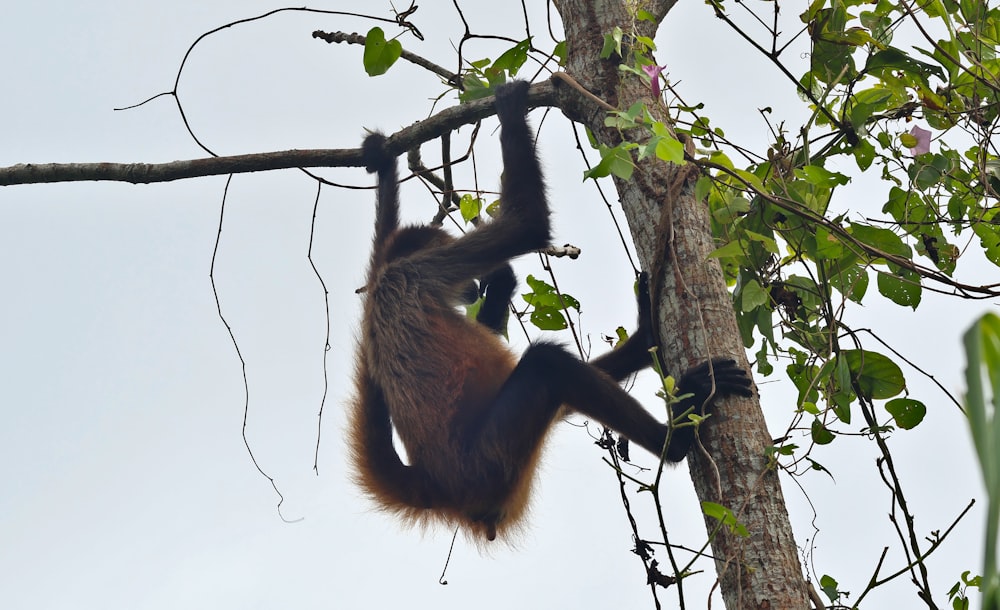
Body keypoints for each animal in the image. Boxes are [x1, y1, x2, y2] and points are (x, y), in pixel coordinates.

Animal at [350, 78, 752, 540]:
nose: (471, 289)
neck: (387, 279)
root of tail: (437, 483)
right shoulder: (421, 272)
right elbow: (526, 225)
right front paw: (509, 107)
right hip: (493, 460)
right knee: (547, 364)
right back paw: (678, 437)